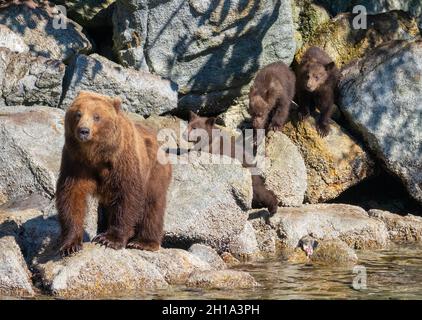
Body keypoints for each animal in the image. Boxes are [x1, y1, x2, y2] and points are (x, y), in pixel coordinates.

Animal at [56, 91, 171, 256]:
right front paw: (70, 245)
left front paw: (109, 239)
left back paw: (143, 242)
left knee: (152, 205)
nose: (83, 131)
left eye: (97, 116)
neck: (96, 155)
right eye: (78, 114)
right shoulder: (75, 162)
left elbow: (127, 196)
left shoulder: (123, 162)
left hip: (154, 172)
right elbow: (71, 196)